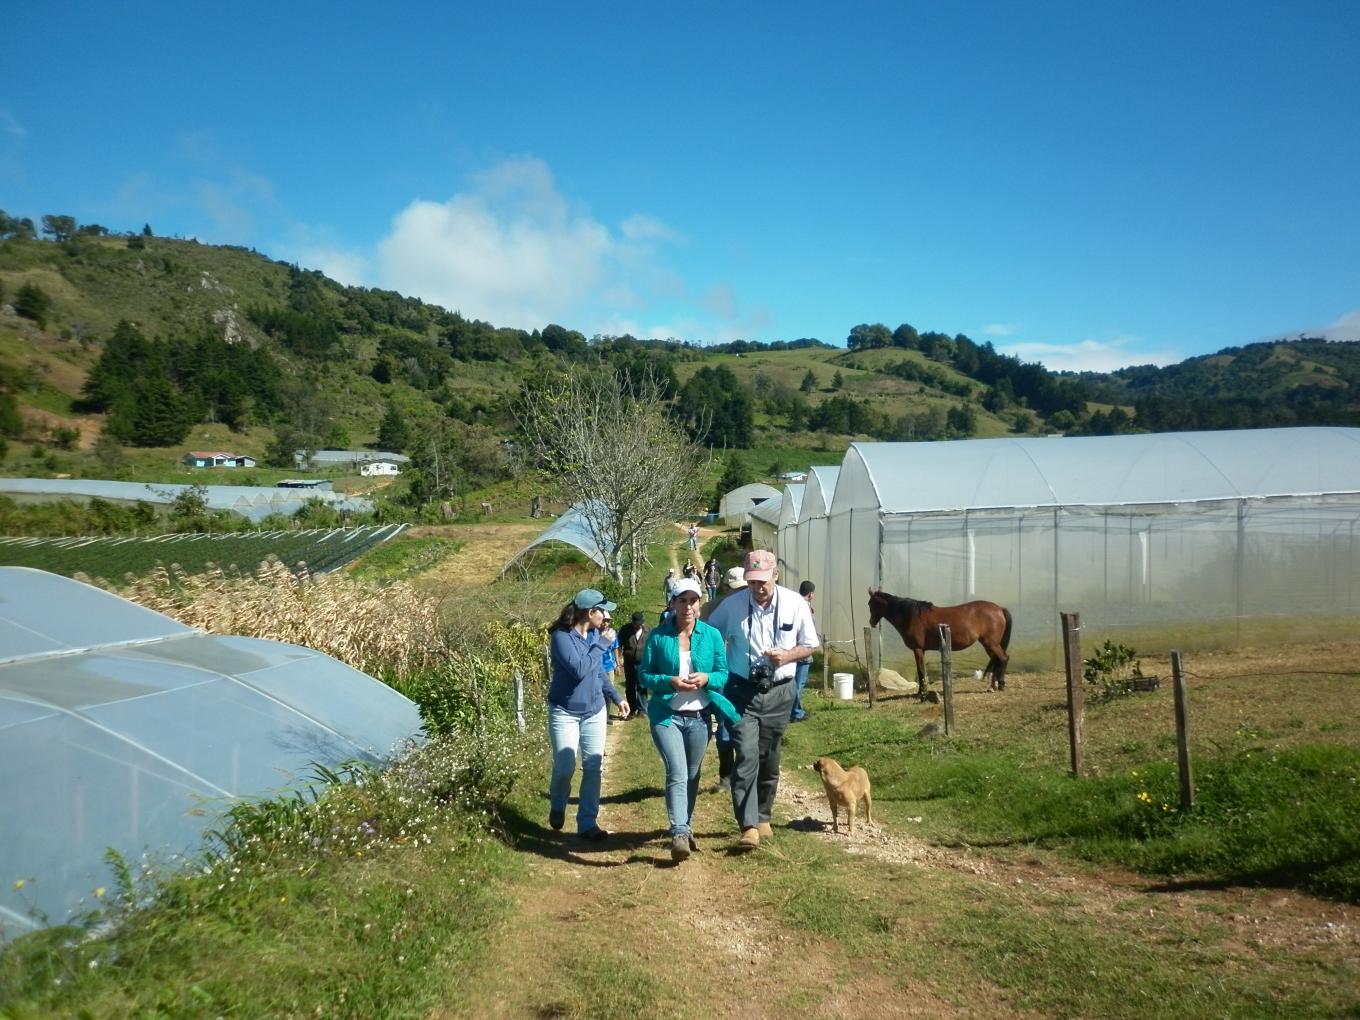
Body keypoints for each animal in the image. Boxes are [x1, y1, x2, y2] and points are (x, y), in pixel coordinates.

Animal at [864, 590, 1017, 696]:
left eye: (870, 604)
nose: (871, 622)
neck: (911, 616)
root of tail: (999, 609)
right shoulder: (922, 650)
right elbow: (922, 671)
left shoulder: (918, 649)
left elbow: (921, 671)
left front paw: (922, 693)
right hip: (989, 645)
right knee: (997, 660)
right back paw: (992, 686)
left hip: (991, 643)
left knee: (1003, 658)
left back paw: (1000, 685)